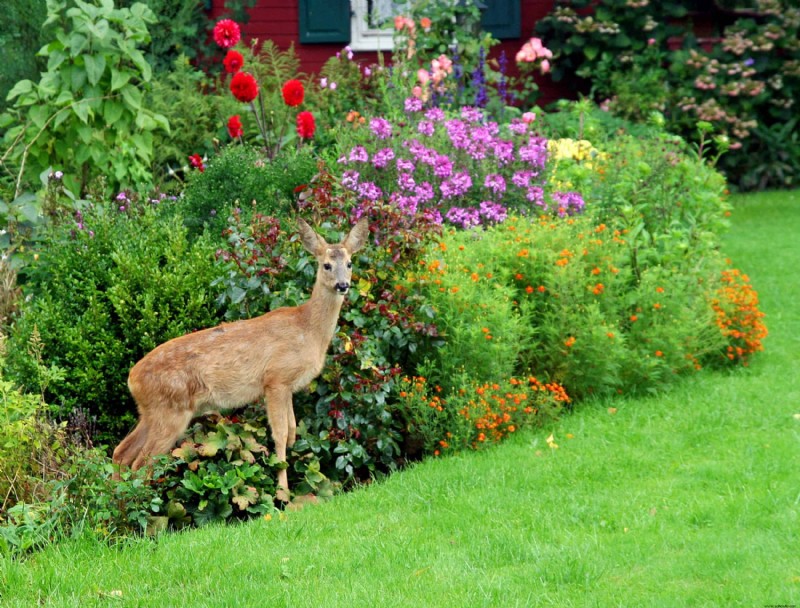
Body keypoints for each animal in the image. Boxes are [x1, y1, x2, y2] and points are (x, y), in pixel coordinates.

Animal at [112, 218, 368, 498]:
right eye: (326, 265)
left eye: (350, 263)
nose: (342, 285)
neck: (307, 329)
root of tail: (132, 379)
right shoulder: (275, 379)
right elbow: (280, 434)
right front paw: (282, 493)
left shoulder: (288, 387)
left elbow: (292, 431)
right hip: (171, 410)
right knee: (142, 463)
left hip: (151, 411)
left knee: (121, 452)